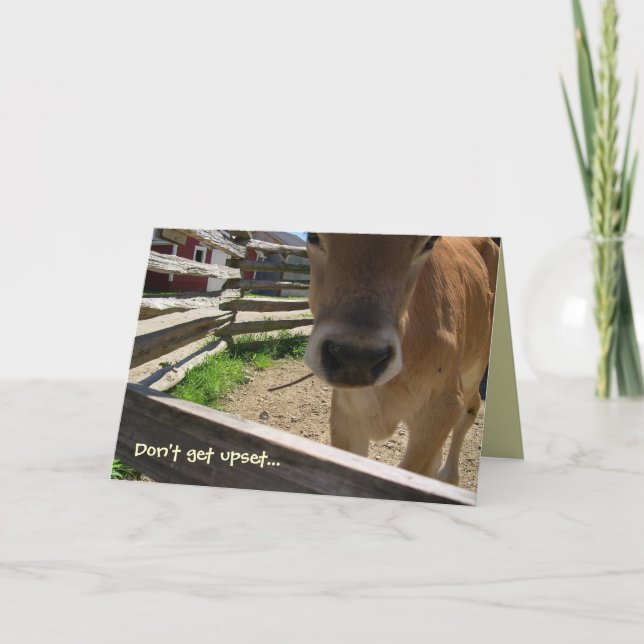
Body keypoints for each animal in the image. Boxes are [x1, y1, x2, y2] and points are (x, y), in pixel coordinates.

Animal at [303, 233, 498, 486]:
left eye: (429, 241)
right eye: (312, 236)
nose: (357, 358)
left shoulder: (442, 405)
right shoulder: (347, 410)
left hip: (476, 365)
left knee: (470, 407)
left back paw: (448, 477)